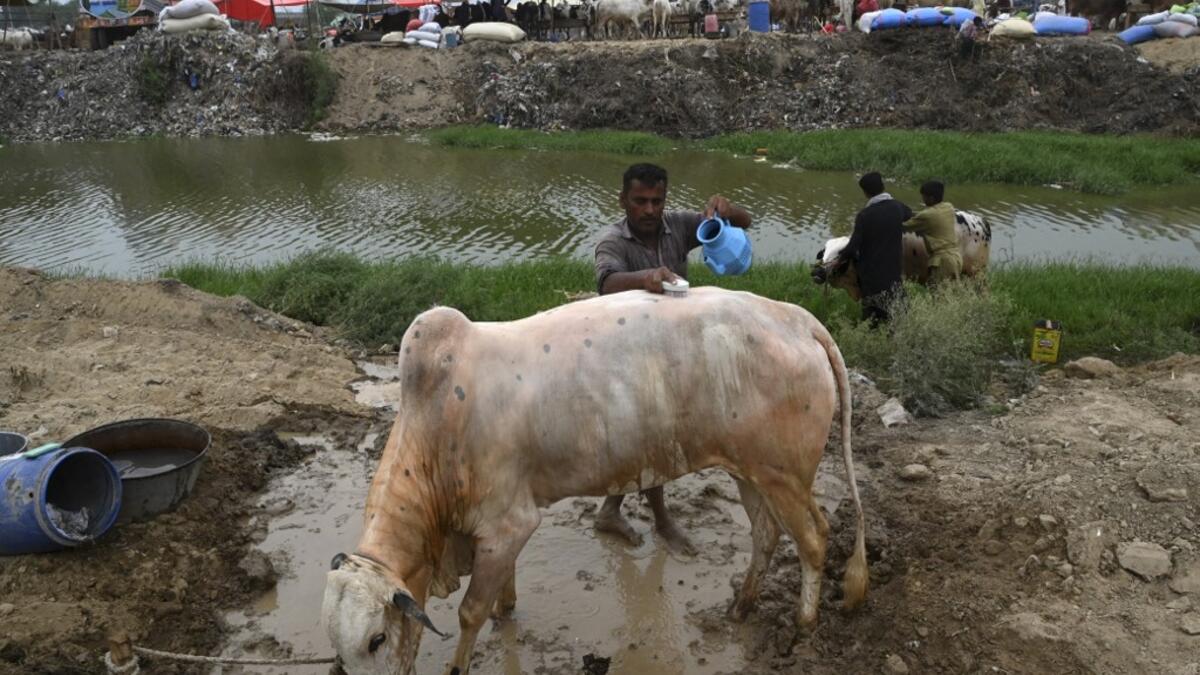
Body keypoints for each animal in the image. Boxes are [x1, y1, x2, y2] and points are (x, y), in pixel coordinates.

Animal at [323, 287, 869, 675]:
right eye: (336, 648)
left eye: (376, 640)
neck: (438, 428)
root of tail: (797, 318)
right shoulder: (504, 532)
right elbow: (503, 591)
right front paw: (508, 612)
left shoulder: (507, 524)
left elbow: (470, 612)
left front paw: (463, 658)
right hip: (751, 470)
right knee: (766, 533)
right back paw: (741, 606)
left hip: (786, 476)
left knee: (815, 538)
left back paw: (803, 627)